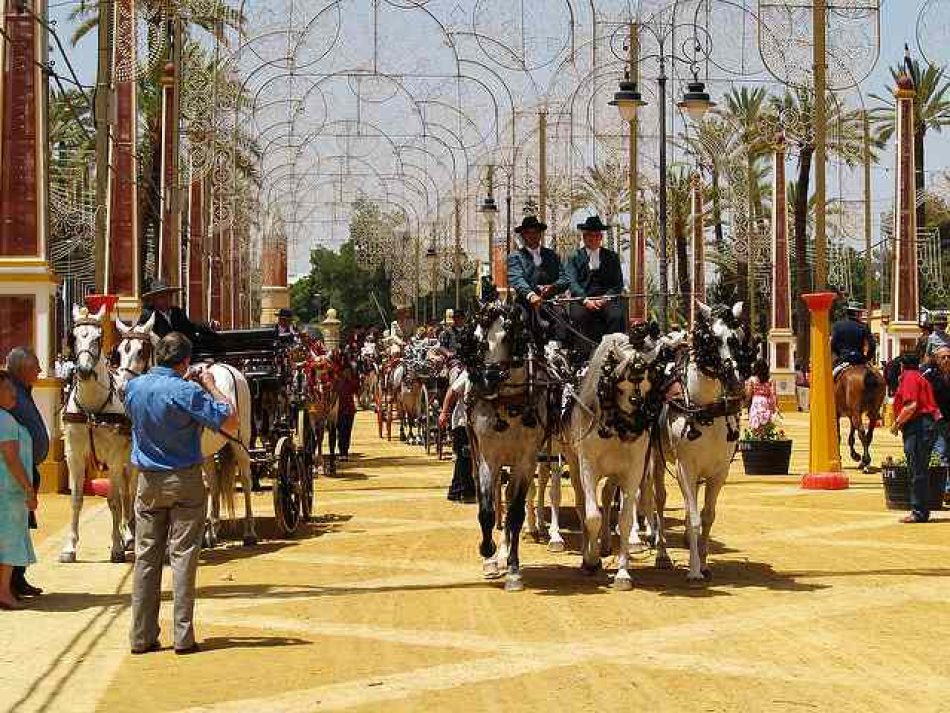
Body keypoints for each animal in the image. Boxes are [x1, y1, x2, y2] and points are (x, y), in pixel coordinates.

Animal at [60, 306, 149, 560]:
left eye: (98, 338)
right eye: (73, 337)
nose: (84, 370)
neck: (92, 408)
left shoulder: (114, 456)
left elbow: (113, 499)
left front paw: (117, 546)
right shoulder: (74, 455)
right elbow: (76, 499)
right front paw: (70, 547)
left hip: (131, 458)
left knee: (130, 491)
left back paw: (130, 534)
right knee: (126, 491)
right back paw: (128, 533)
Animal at [664, 300, 756, 584]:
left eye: (739, 336)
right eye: (712, 339)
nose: (737, 382)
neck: (704, 408)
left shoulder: (718, 471)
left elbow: (707, 516)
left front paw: (703, 563)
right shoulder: (685, 468)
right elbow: (694, 519)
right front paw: (694, 570)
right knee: (653, 501)